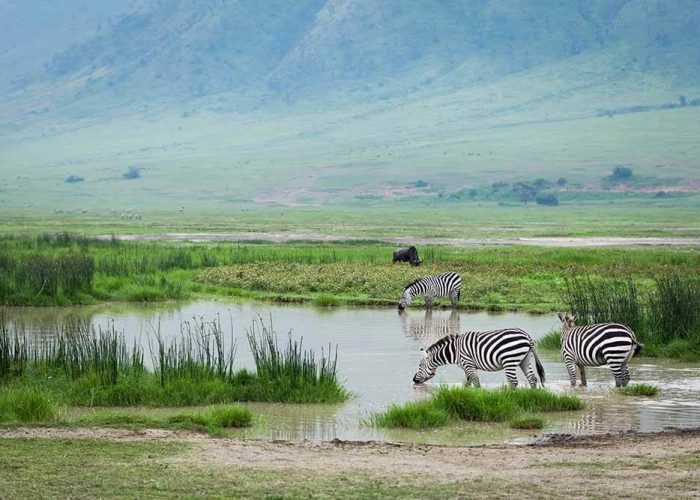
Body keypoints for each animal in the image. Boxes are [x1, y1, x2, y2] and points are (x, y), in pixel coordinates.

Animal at [412, 328, 546, 388]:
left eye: (419, 365)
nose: (414, 380)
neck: (455, 351)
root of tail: (526, 336)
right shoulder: (467, 367)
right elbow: (468, 383)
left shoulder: (468, 364)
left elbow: (476, 382)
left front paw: (478, 396)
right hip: (525, 359)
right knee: (532, 378)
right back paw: (531, 396)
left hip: (509, 360)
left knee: (513, 382)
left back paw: (508, 396)